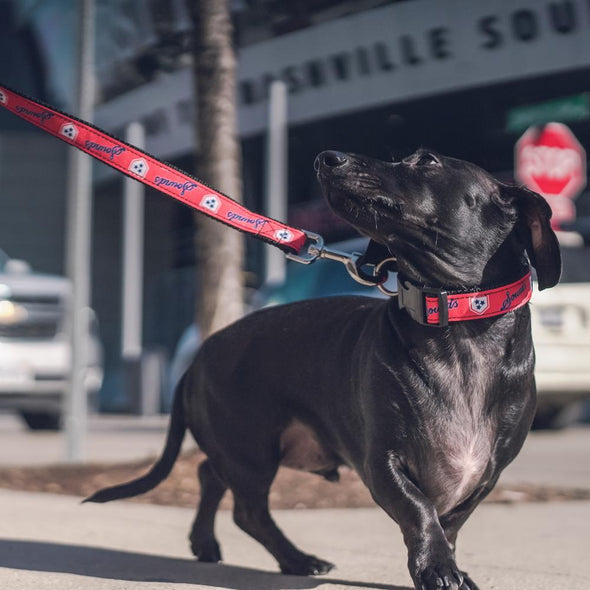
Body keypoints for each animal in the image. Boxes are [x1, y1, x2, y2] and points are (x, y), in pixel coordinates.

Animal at [85, 150, 560, 590]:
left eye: (426, 161)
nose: (327, 158)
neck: (460, 318)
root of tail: (199, 356)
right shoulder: (382, 462)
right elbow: (421, 510)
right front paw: (437, 568)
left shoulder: (489, 471)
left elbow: (452, 521)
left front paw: (450, 567)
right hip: (251, 449)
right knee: (248, 511)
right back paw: (298, 560)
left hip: (243, 449)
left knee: (208, 474)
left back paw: (206, 543)